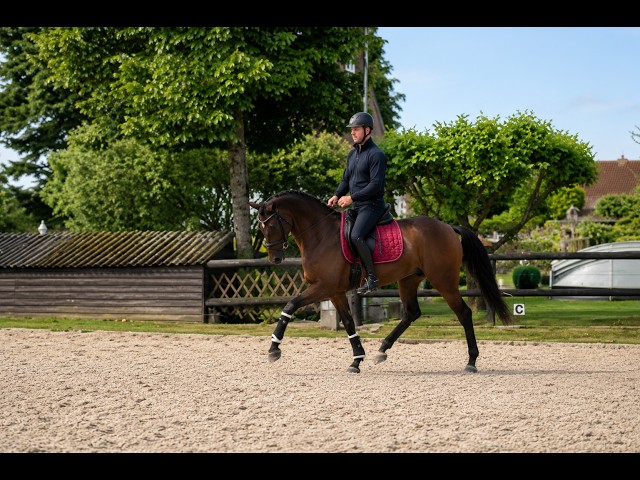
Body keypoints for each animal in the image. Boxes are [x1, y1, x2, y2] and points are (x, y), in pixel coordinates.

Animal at [249, 189, 511, 374]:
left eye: (270, 225)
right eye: (260, 227)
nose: (275, 258)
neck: (321, 234)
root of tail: (447, 227)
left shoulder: (323, 287)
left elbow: (290, 305)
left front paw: (274, 348)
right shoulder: (335, 292)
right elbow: (348, 323)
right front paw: (357, 360)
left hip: (443, 281)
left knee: (464, 313)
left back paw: (471, 361)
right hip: (408, 280)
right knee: (411, 313)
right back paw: (382, 350)